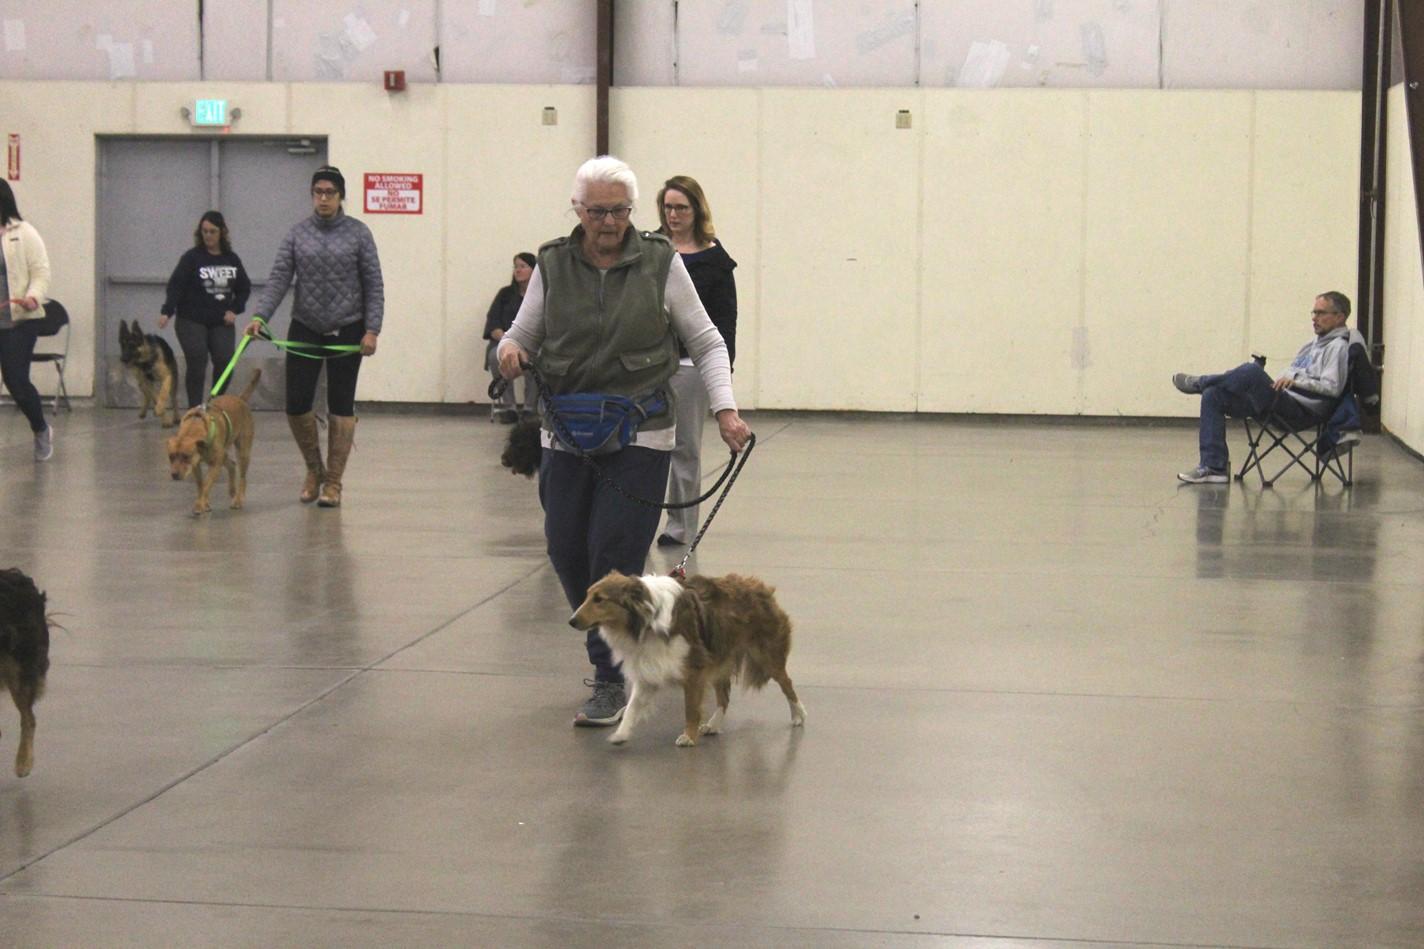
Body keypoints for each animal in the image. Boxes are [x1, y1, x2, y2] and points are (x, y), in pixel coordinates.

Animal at [166, 370, 261, 515]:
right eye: (171, 457)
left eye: (186, 456)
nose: (175, 475)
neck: (194, 427)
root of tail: (240, 399)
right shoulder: (196, 464)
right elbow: (200, 485)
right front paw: (203, 503)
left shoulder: (215, 464)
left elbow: (206, 484)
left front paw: (199, 505)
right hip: (223, 454)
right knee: (232, 465)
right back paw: (232, 491)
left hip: (243, 451)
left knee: (243, 477)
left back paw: (238, 499)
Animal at [569, 570, 806, 747]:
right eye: (588, 595)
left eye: (599, 600)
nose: (571, 621)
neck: (647, 619)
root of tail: (761, 587)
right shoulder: (650, 669)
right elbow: (632, 707)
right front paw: (621, 734)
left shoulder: (695, 670)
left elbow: (690, 709)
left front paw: (688, 737)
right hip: (719, 659)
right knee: (724, 697)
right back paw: (714, 725)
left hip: (766, 655)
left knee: (787, 684)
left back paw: (799, 715)